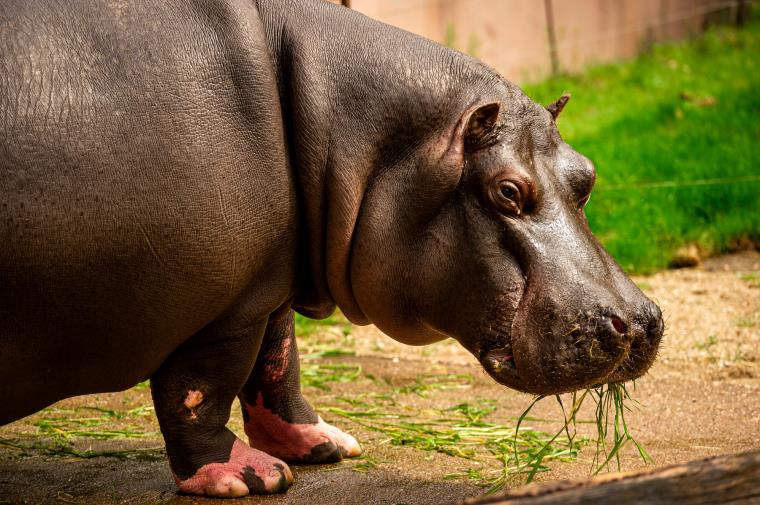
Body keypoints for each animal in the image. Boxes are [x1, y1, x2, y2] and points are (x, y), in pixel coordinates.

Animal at [0, 0, 664, 496]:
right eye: (507, 190)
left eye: (587, 175)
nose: (639, 322)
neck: (344, 128)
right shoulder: (223, 309)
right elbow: (201, 389)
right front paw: (249, 477)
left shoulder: (266, 284)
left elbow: (278, 364)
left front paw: (324, 444)